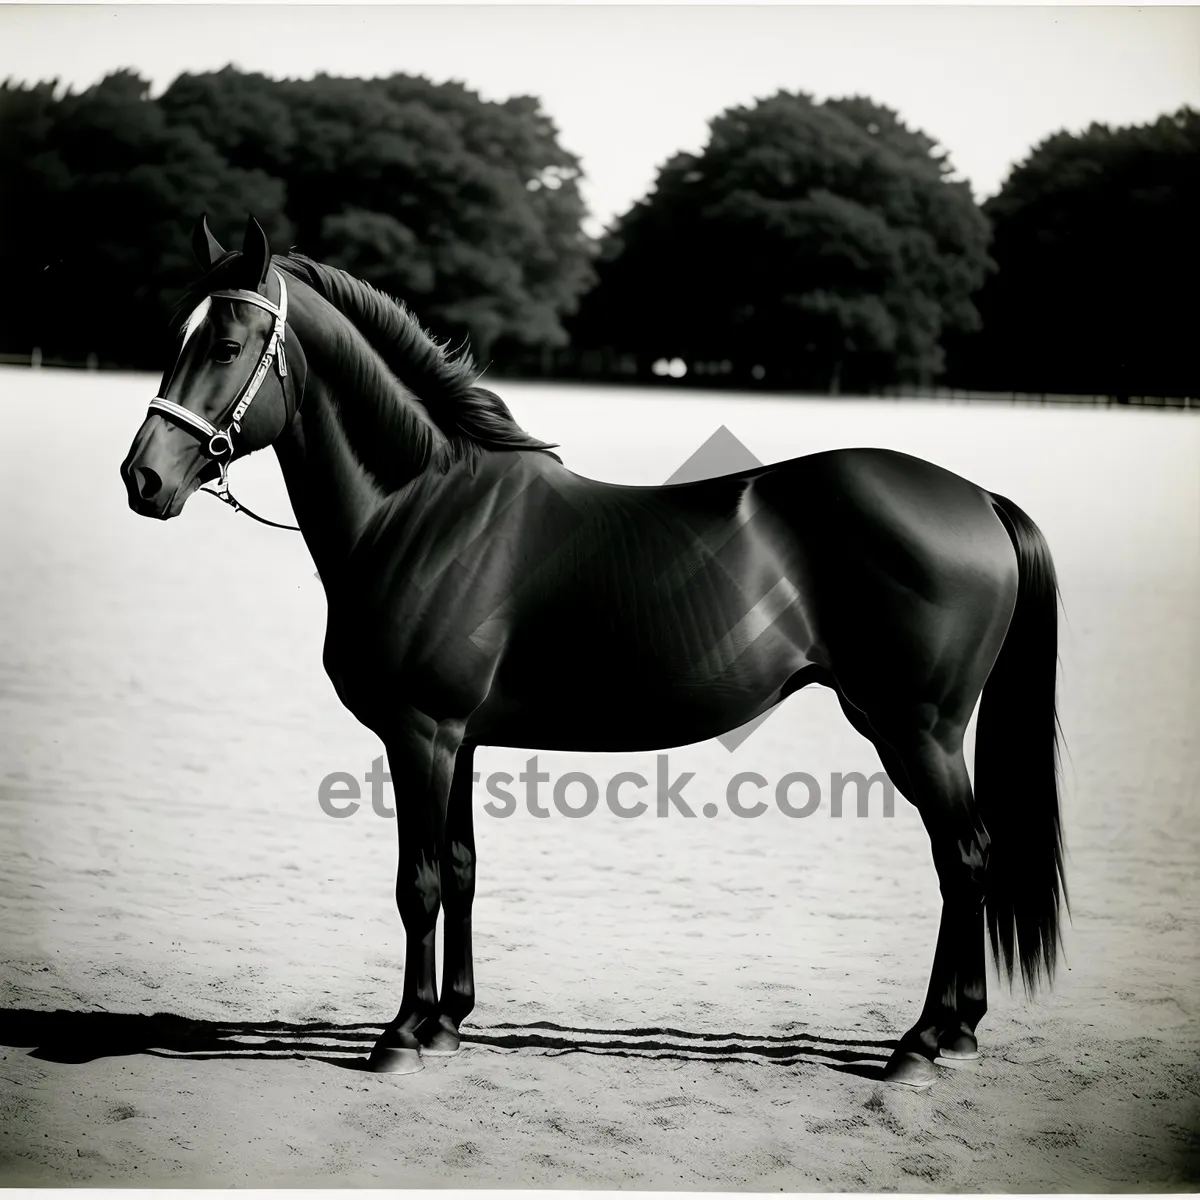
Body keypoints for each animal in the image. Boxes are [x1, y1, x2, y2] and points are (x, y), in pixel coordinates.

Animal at [117, 213, 1065, 1089]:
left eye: (227, 343)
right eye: (175, 338)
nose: (143, 479)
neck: (425, 510)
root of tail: (976, 499)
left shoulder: (420, 732)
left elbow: (416, 882)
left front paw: (400, 1037)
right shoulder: (456, 737)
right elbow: (460, 868)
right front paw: (446, 1023)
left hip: (918, 730)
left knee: (964, 859)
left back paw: (924, 1043)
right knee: (965, 861)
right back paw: (953, 1032)